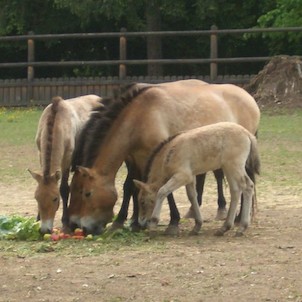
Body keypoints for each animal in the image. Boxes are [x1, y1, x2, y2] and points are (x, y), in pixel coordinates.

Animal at [29, 94, 103, 234]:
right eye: (36, 198)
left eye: (55, 198)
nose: (45, 230)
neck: (57, 121)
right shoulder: (40, 153)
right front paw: (37, 218)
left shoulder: (67, 158)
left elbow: (64, 188)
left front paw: (65, 222)